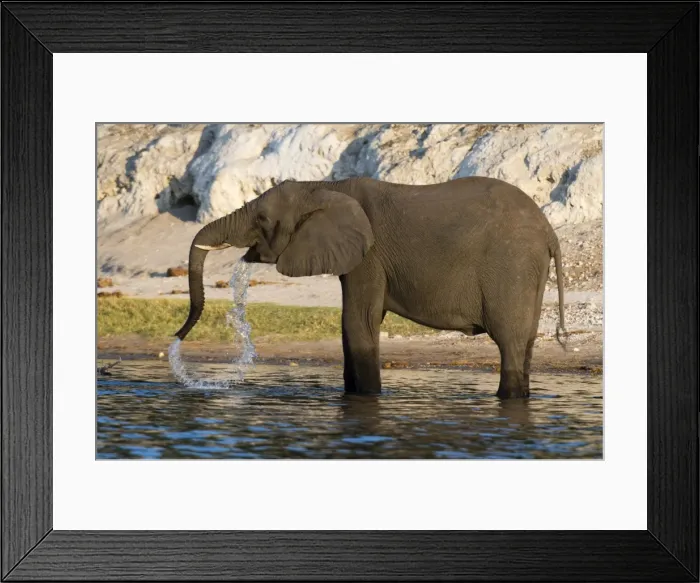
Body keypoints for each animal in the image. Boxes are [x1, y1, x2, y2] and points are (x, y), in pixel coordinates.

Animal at [174, 177, 567, 399]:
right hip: (529, 272)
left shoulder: (369, 255)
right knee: (526, 342)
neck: (326, 186)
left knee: (509, 342)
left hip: (511, 265)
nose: (176, 337)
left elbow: (358, 321)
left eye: (262, 219)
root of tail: (548, 230)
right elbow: (352, 326)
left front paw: (368, 398)